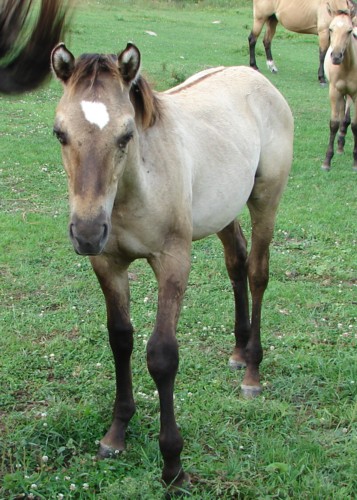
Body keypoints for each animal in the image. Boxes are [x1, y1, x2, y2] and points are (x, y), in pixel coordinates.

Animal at [51, 42, 294, 488]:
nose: (88, 232)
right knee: (236, 261)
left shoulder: (173, 261)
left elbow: (162, 355)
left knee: (257, 272)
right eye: (60, 133)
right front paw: (116, 433)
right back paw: (237, 350)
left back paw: (251, 370)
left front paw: (172, 464)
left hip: (265, 200)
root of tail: (256, 78)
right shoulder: (109, 264)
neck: (138, 187)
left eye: (126, 134)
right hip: (222, 209)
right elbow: (120, 340)